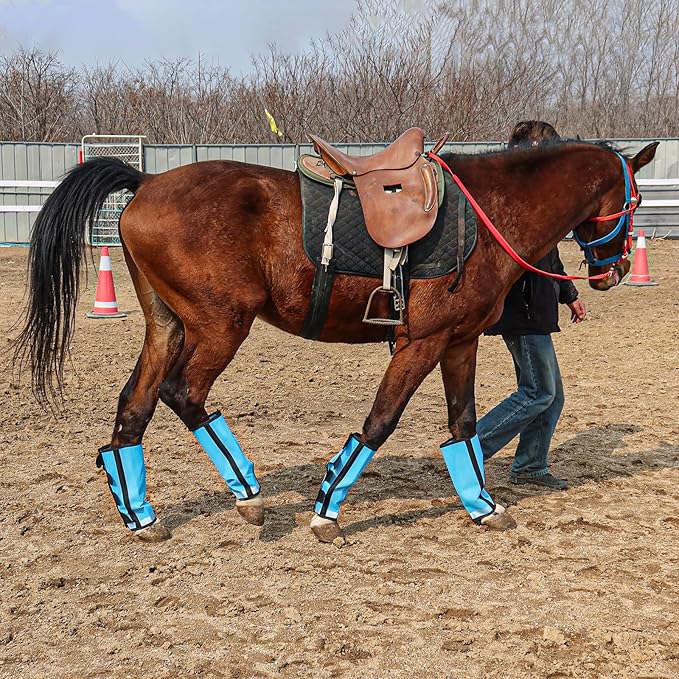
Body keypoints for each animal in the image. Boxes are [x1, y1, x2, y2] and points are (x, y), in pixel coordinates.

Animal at [13, 138, 658, 543]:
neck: (487, 214)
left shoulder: (459, 343)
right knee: (182, 393)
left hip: (168, 327)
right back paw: (248, 494)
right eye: (634, 200)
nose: (616, 269)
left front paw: (484, 506)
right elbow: (379, 422)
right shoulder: (420, 344)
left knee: (134, 407)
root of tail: (146, 181)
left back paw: (141, 516)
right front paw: (326, 511)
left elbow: (464, 426)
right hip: (220, 326)